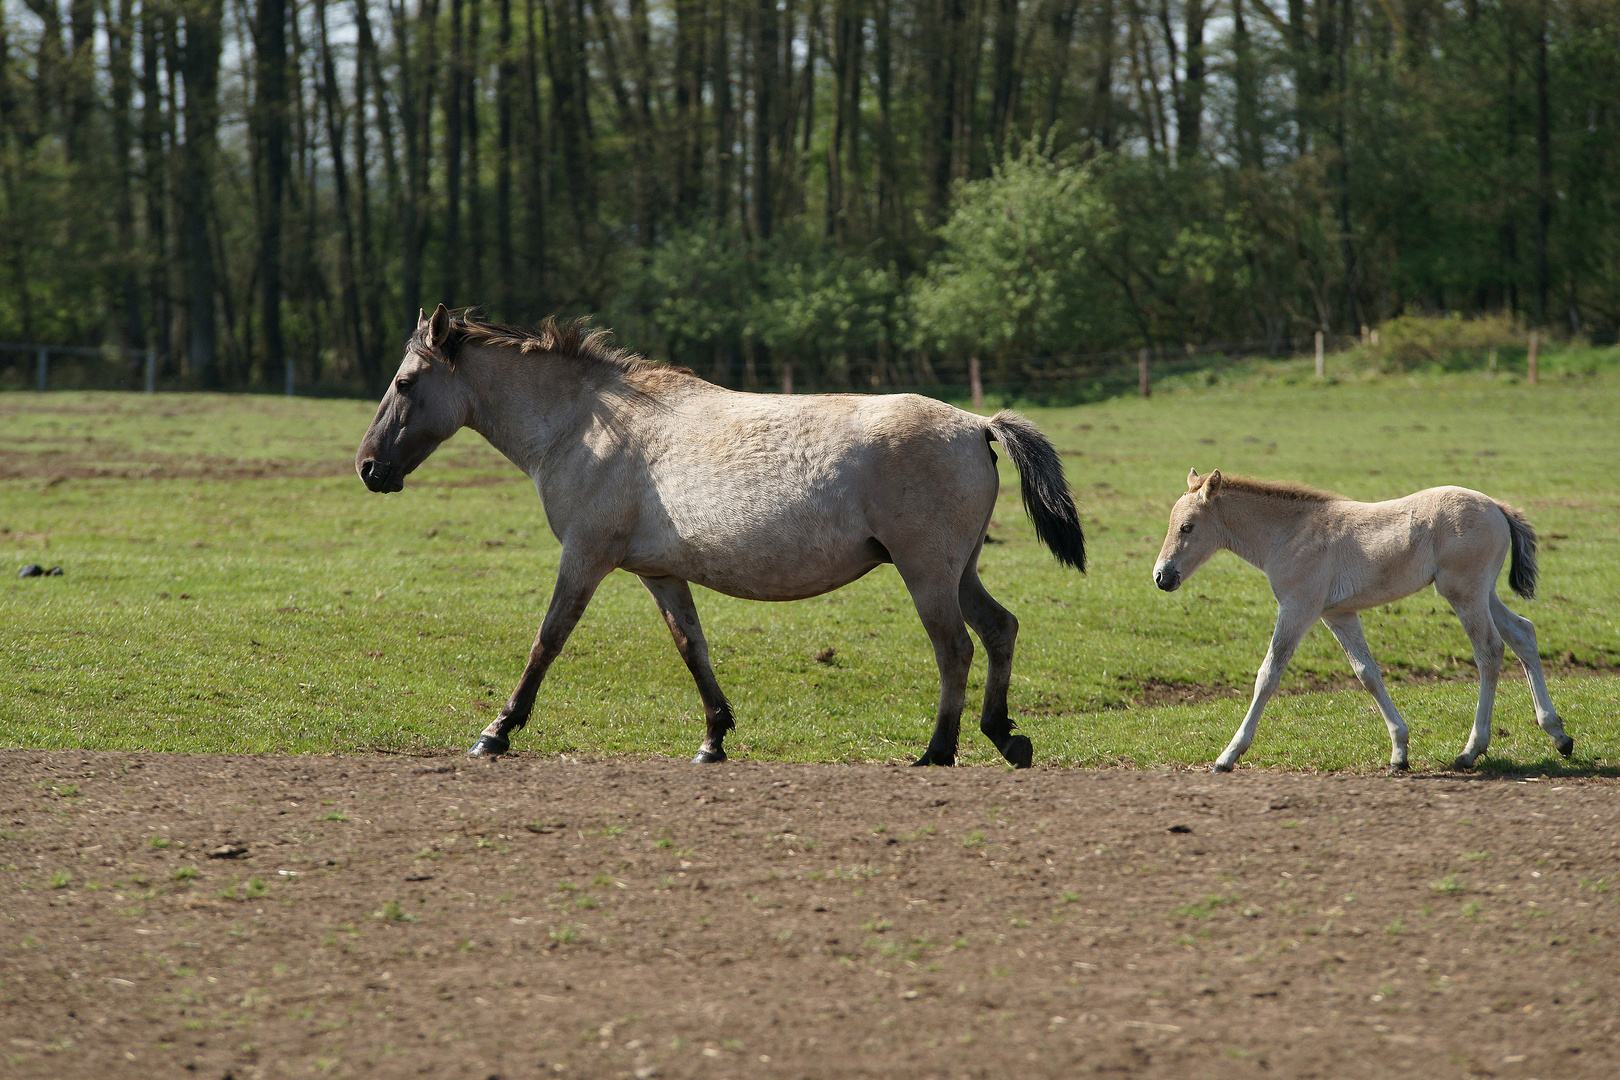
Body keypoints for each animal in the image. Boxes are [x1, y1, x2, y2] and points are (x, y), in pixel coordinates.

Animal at [358, 306, 1088, 767]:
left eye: (405, 382)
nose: (368, 467)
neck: (586, 424)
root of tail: (976, 423)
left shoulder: (585, 557)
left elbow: (548, 641)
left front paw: (497, 732)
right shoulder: (660, 574)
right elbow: (693, 649)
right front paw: (714, 738)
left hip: (927, 572)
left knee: (955, 649)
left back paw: (938, 751)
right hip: (958, 571)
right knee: (998, 629)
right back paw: (1004, 736)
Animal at [1153, 469, 1568, 773]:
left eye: (1187, 527)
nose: (1162, 576)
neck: (1289, 534)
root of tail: (1496, 506)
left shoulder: (1298, 608)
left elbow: (1268, 674)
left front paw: (1229, 755)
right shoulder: (1338, 615)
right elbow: (1367, 673)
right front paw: (1399, 752)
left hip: (1464, 593)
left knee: (1489, 651)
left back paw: (1471, 750)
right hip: (1484, 593)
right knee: (1523, 634)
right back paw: (1559, 735)